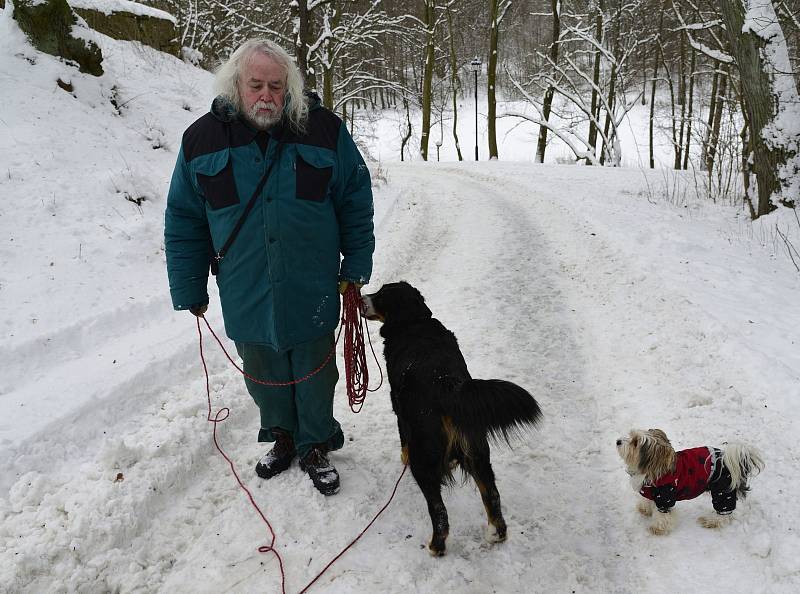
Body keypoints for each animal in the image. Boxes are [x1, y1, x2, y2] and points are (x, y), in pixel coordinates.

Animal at [362, 282, 544, 556]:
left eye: (382, 295)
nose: (361, 298)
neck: (414, 322)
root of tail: (445, 383)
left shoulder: (399, 409)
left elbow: (403, 440)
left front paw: (403, 457)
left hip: (424, 457)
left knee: (439, 510)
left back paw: (436, 546)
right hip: (477, 449)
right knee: (491, 494)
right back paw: (496, 533)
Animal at [616, 426, 764, 532]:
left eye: (635, 442)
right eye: (631, 436)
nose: (618, 441)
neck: (653, 469)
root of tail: (728, 460)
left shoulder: (665, 497)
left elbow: (663, 516)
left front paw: (658, 528)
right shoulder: (651, 490)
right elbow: (647, 501)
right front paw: (644, 509)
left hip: (723, 491)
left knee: (724, 514)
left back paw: (711, 522)